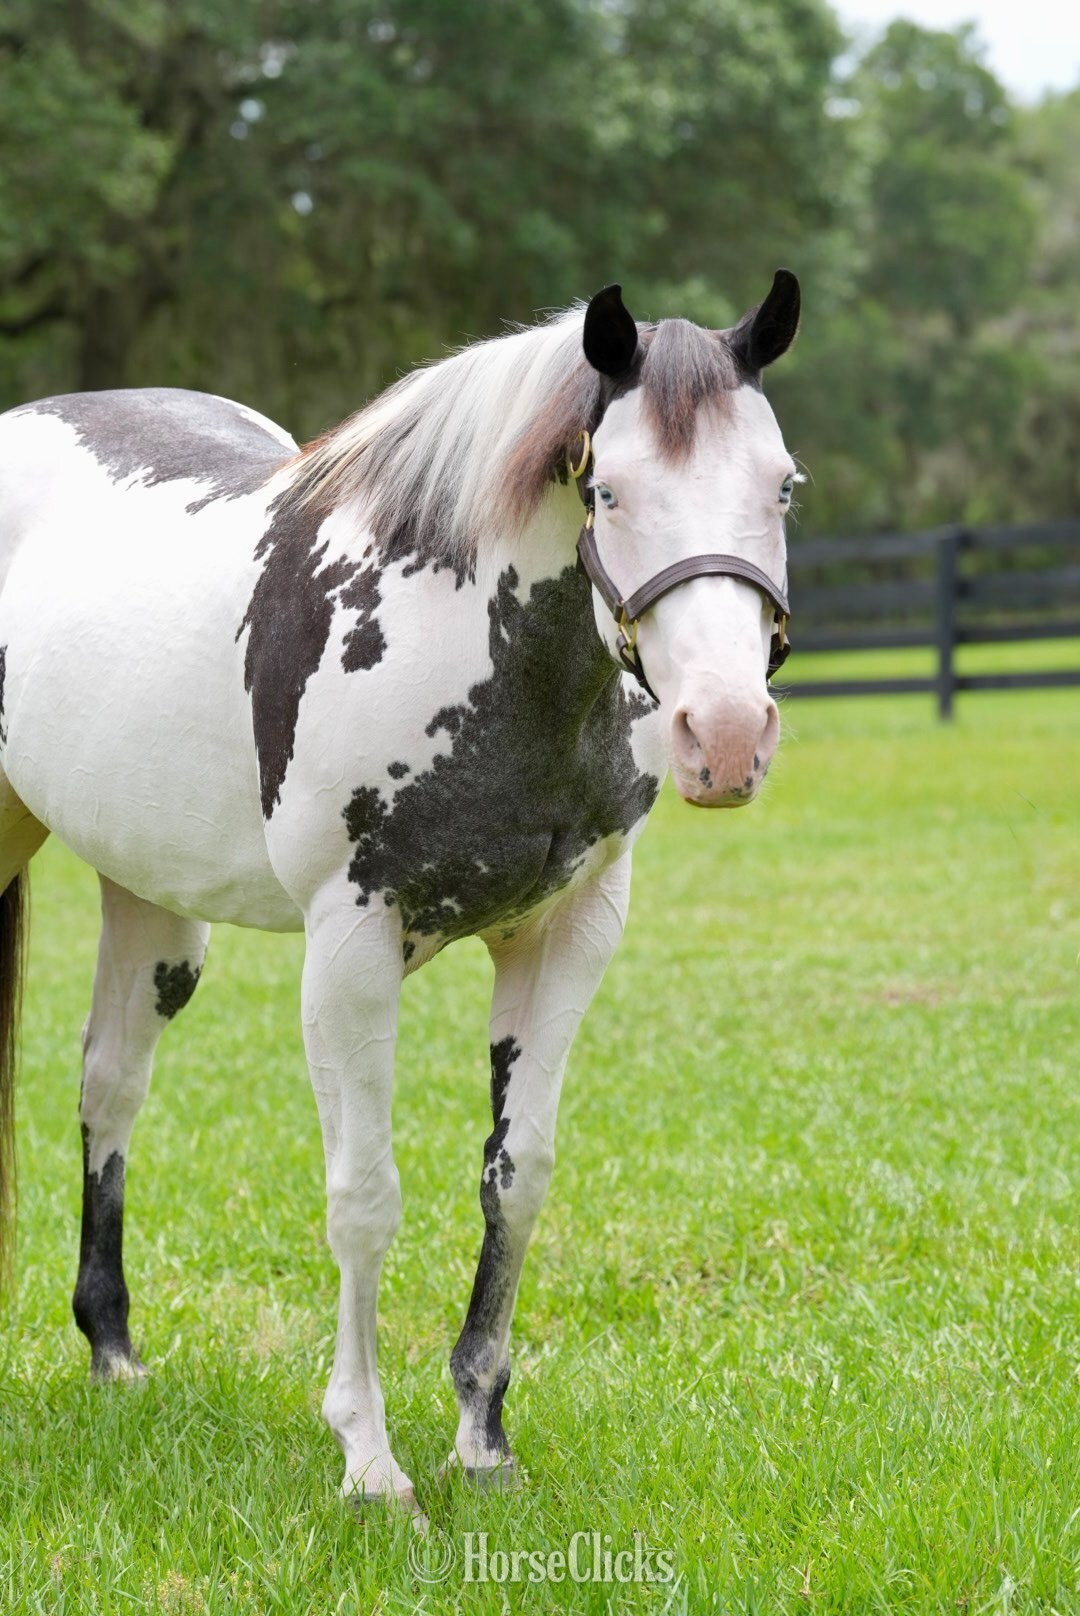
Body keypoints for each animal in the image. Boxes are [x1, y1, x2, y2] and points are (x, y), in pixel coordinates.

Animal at [0, 274, 800, 1513]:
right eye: (608, 488)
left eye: (783, 485)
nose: (723, 735)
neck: (461, 638)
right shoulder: (350, 946)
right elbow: (365, 1197)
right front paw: (370, 1459)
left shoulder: (567, 935)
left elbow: (517, 1177)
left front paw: (482, 1435)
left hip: (149, 897)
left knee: (110, 1084)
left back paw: (114, 1352)